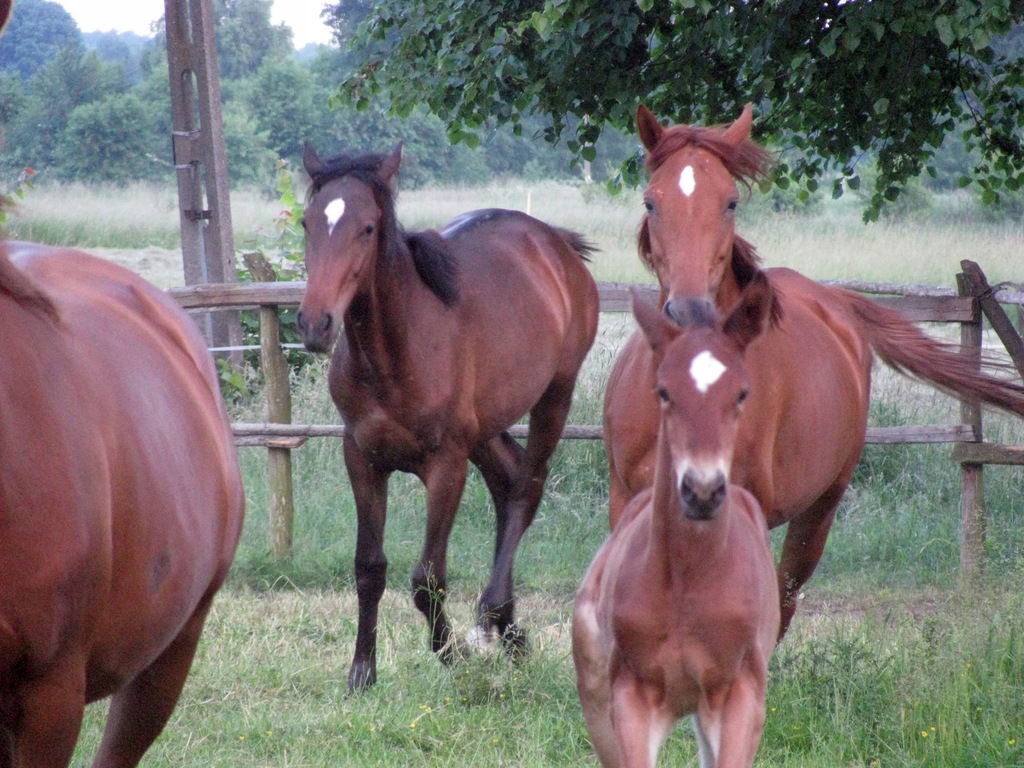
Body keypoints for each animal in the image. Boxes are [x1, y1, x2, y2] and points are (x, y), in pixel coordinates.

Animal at [296, 143, 598, 692]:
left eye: (367, 227)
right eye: (308, 223)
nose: (315, 323)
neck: (397, 351)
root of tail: (556, 244)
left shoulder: (445, 466)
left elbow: (427, 578)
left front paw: (451, 651)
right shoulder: (362, 458)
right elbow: (368, 568)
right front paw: (362, 672)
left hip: (554, 398)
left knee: (525, 488)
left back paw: (491, 617)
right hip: (485, 426)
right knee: (508, 479)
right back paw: (509, 631)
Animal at [577, 276, 774, 768]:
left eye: (742, 393)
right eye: (664, 392)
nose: (701, 492)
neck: (689, 581)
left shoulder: (741, 695)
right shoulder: (630, 696)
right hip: (595, 698)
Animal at [602, 105, 1024, 638]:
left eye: (731, 202)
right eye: (651, 202)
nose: (691, 311)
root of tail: (836, 301)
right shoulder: (628, 502)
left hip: (819, 510)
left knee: (782, 601)